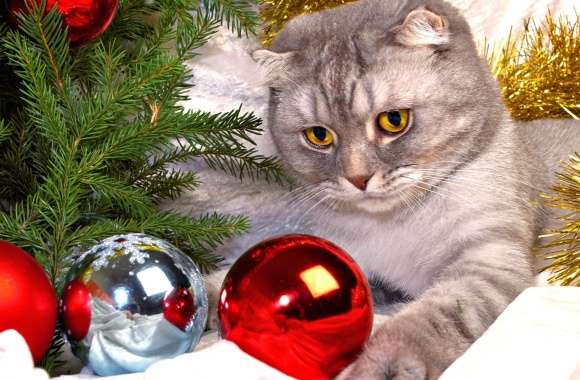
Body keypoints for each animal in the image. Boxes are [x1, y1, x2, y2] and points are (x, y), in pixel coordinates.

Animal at [169, 0, 580, 378]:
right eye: (318, 136)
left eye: (393, 120)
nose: (357, 178)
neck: (394, 224)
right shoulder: (345, 255)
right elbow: (234, 275)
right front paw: (193, 297)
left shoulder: (488, 261)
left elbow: (435, 316)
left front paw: (383, 362)